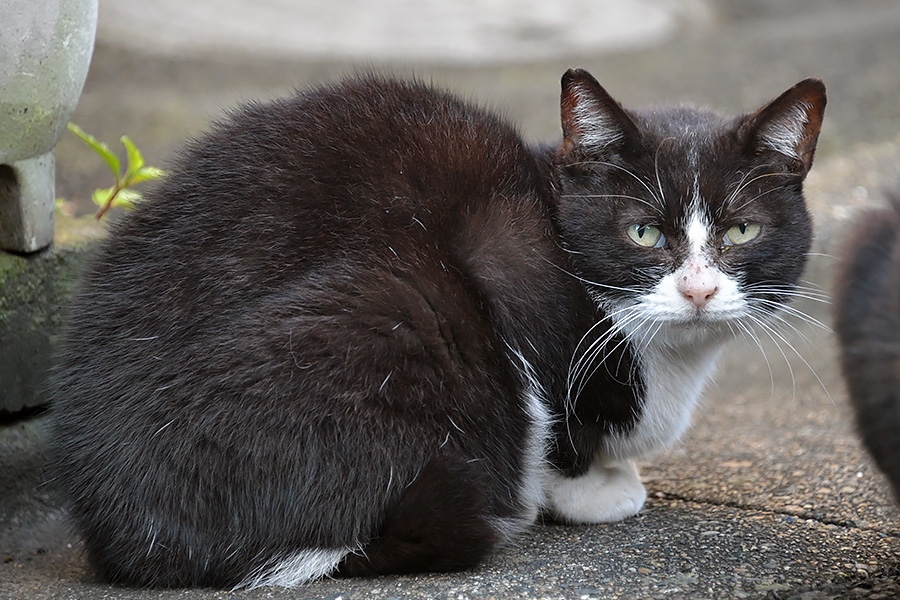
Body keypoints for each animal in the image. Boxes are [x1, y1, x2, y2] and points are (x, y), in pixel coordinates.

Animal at [47, 69, 824, 584]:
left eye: (742, 231)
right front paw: (589, 489)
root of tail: (126, 535)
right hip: (406, 298)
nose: (698, 288)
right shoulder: (511, 263)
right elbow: (555, 424)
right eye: (642, 233)